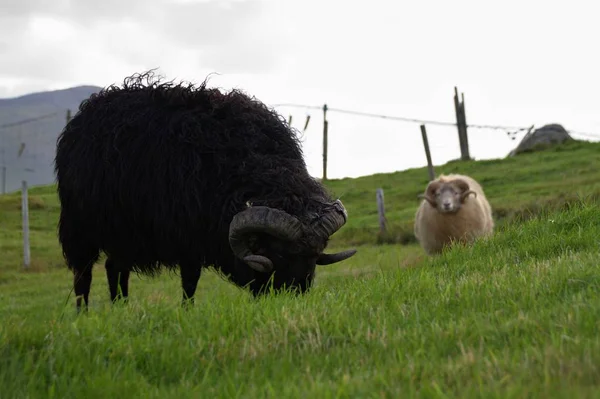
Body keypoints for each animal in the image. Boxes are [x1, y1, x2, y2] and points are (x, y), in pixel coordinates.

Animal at [55, 70, 356, 310]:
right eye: (279, 253)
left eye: (316, 253)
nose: (295, 298)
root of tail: (83, 117)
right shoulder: (187, 236)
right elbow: (190, 281)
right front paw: (187, 312)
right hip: (80, 228)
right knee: (83, 274)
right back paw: (83, 316)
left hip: (122, 233)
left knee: (115, 268)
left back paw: (122, 309)